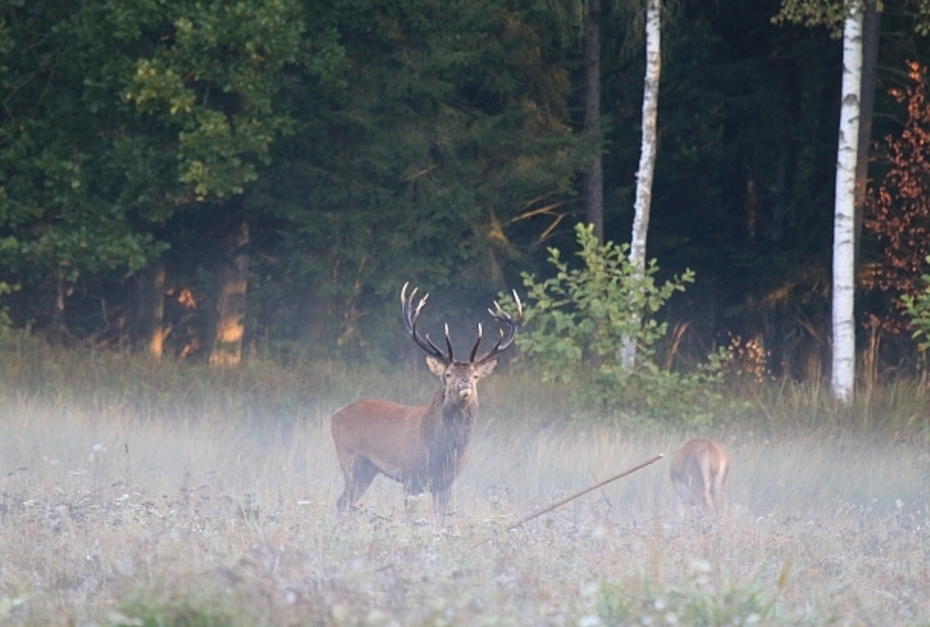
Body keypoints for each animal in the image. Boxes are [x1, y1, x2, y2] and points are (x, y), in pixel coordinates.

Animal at [328, 284, 520, 520]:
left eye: (475, 375)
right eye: (448, 374)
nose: (465, 383)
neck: (441, 452)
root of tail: (336, 414)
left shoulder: (446, 483)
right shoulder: (410, 476)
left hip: (367, 470)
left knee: (344, 501)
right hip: (349, 459)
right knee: (342, 501)